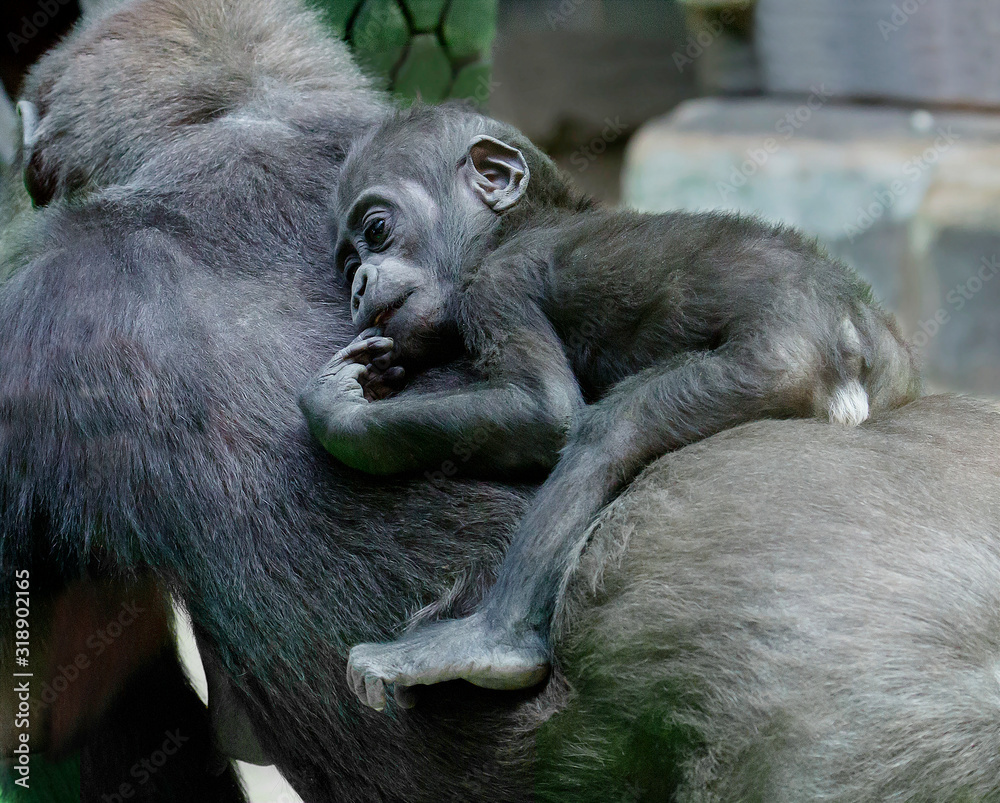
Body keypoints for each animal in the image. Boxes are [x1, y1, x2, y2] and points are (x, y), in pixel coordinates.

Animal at [298, 104, 922, 709]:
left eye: (377, 230)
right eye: (347, 264)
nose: (358, 285)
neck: (509, 230)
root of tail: (861, 341)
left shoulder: (496, 286)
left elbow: (543, 410)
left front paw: (338, 412)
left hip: (779, 362)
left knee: (610, 433)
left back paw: (492, 644)